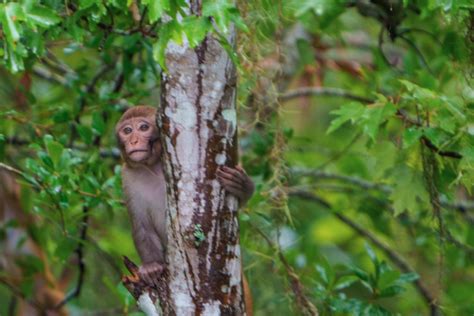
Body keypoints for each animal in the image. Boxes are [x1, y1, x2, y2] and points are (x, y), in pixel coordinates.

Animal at [115, 105, 256, 308]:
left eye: (143, 127)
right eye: (127, 130)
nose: (133, 140)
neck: (153, 165)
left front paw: (243, 187)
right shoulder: (128, 176)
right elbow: (142, 225)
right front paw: (151, 266)